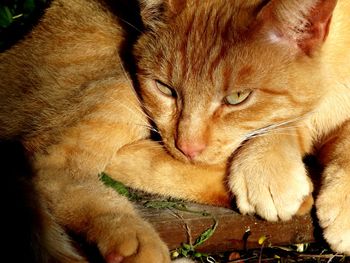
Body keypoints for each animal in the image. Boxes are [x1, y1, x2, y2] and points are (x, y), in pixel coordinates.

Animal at [0, 0, 348, 262]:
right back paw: (131, 238)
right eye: (165, 89)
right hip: (116, 86)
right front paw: (269, 171)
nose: (187, 146)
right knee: (53, 168)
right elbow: (291, 120)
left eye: (237, 97)